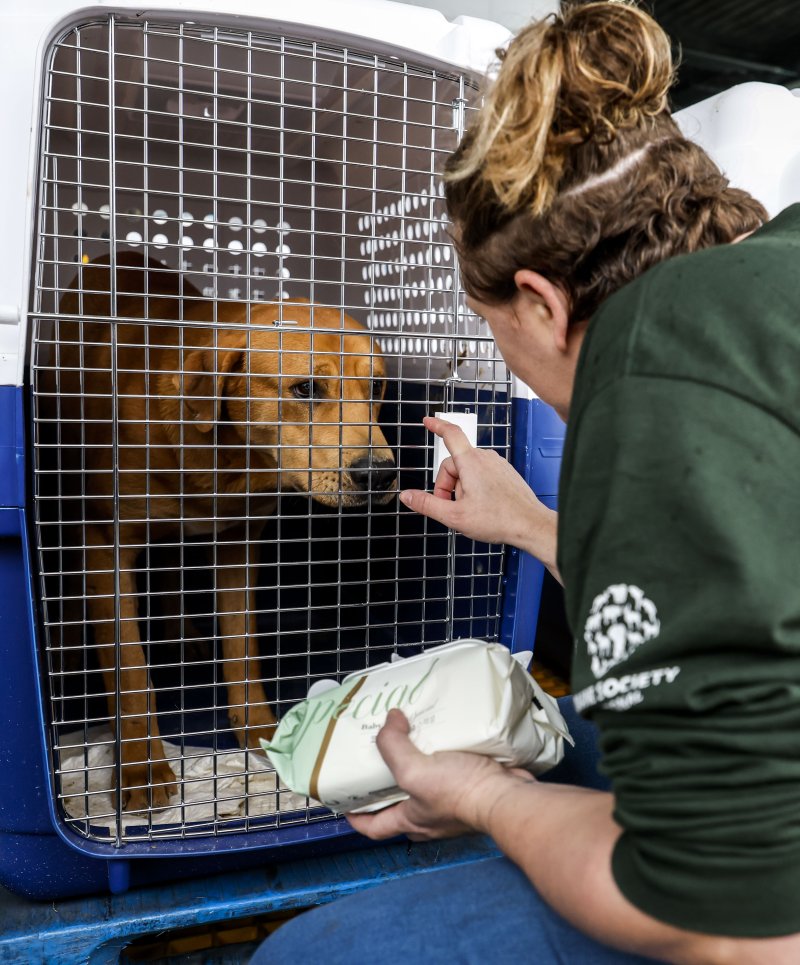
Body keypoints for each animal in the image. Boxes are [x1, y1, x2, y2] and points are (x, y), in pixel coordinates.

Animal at [45, 252, 396, 808]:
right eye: (306, 388)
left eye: (377, 387)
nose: (381, 475)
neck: (225, 456)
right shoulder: (105, 545)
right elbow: (129, 668)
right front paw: (143, 768)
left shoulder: (239, 543)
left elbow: (242, 649)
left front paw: (258, 729)